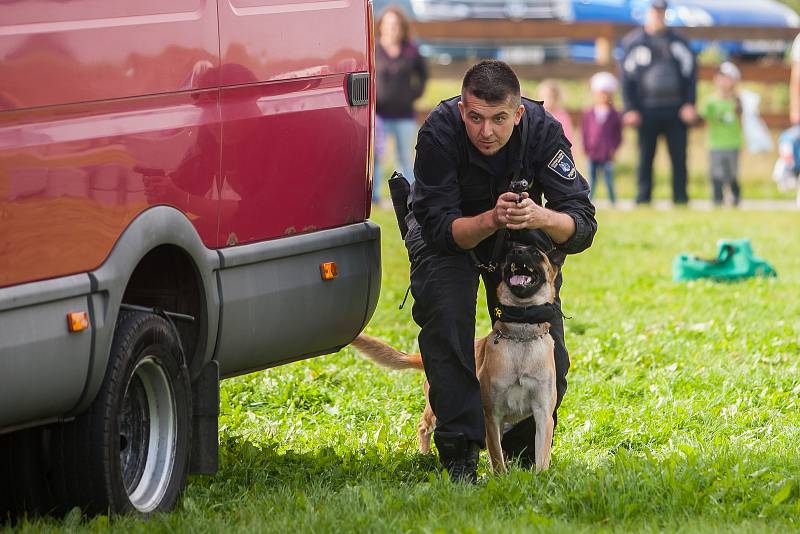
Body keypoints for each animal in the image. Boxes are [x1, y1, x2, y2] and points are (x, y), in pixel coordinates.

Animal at [350, 245, 564, 476]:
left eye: (535, 252)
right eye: (509, 252)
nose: (515, 251)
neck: (521, 334)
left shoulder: (543, 414)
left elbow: (541, 456)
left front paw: (539, 477)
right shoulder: (491, 415)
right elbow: (497, 458)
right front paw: (501, 478)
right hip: (436, 410)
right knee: (423, 426)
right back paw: (425, 455)